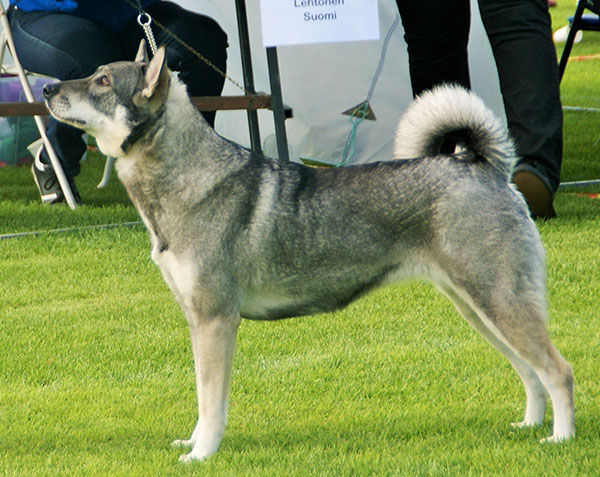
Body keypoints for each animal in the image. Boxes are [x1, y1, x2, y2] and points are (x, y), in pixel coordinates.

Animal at [44, 42, 576, 460]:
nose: (47, 89)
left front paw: (201, 455)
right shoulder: (197, 319)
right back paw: (530, 426)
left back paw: (560, 439)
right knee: (530, 373)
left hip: (499, 302)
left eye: (103, 81)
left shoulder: (216, 320)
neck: (187, 178)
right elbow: (200, 397)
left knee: (558, 371)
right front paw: (194, 443)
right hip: (479, 308)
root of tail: (484, 167)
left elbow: (211, 401)